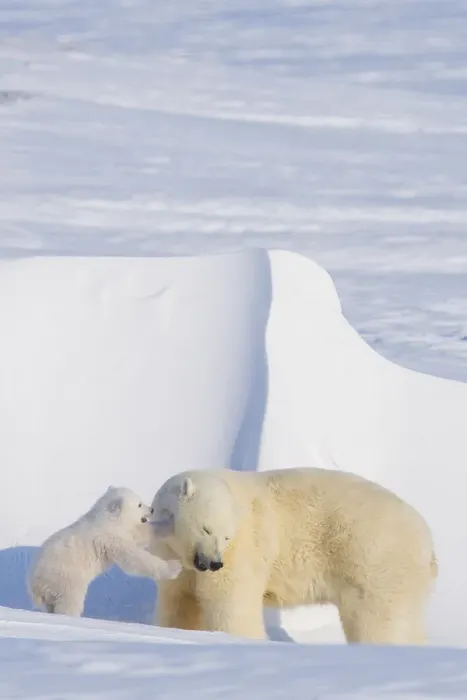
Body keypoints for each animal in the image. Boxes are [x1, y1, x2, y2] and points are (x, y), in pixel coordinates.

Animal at [28, 486, 182, 617]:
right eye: (139, 504)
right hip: (65, 578)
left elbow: (141, 533)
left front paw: (169, 522)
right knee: (69, 602)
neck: (107, 519)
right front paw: (174, 567)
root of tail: (36, 584)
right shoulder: (109, 538)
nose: (151, 509)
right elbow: (133, 559)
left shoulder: (121, 532)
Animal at [148, 468, 437, 644]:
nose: (214, 563)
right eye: (207, 528)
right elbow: (180, 603)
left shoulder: (244, 549)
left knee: (381, 620)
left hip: (374, 562)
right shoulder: (171, 560)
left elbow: (230, 603)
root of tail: (428, 542)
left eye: (227, 536)